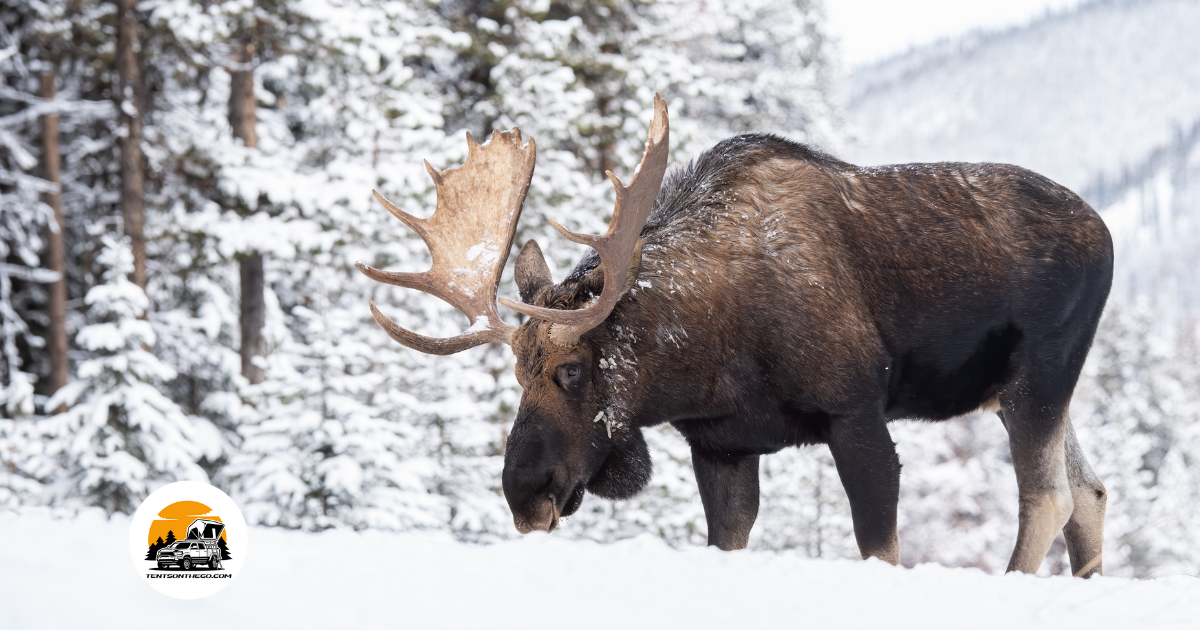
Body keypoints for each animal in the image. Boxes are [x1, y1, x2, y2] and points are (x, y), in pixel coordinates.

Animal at [357, 92, 1113, 573]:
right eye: (517, 372)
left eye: (571, 371)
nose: (525, 493)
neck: (707, 358)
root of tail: (1105, 232)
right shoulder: (720, 447)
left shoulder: (856, 414)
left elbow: (879, 548)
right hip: (1021, 391)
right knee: (1091, 493)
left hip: (1041, 374)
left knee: (1049, 498)